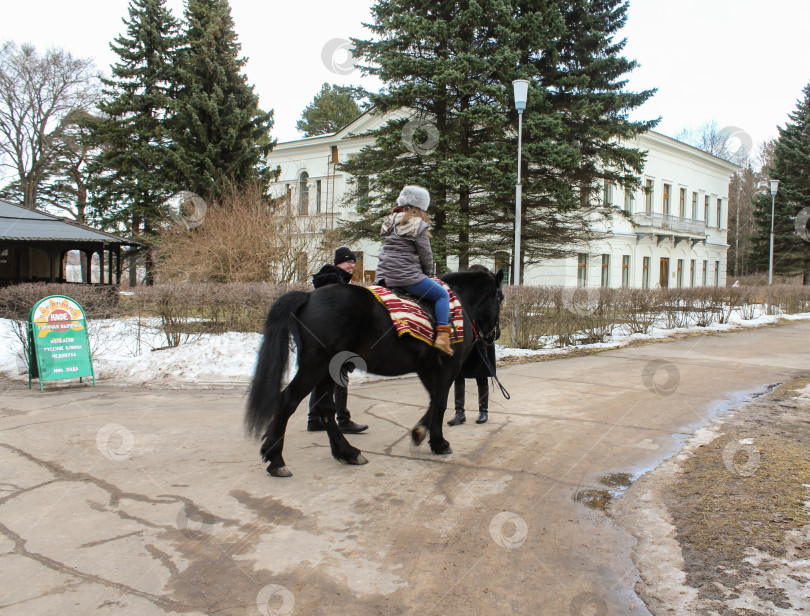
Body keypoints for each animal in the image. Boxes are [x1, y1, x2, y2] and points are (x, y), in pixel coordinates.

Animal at [243, 270, 502, 476]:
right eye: (500, 297)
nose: (494, 335)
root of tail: (308, 297)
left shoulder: (427, 369)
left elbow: (434, 401)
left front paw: (424, 433)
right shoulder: (448, 367)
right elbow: (439, 402)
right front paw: (436, 441)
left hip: (327, 371)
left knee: (325, 407)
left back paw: (346, 452)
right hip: (315, 366)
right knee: (288, 400)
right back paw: (277, 459)